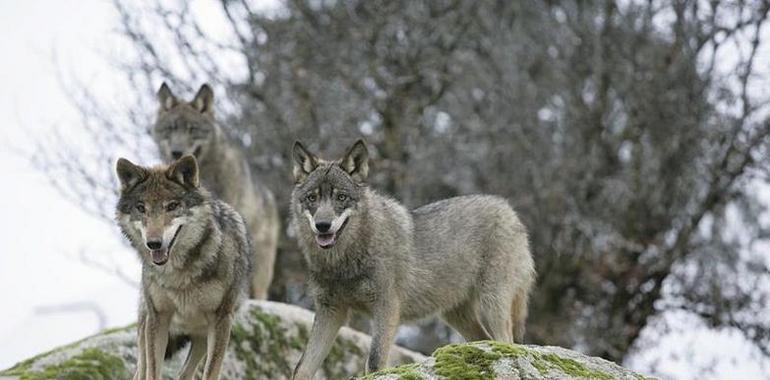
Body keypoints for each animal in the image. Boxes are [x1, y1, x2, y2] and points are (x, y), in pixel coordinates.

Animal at [115, 155, 252, 380]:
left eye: (171, 206)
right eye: (141, 208)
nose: (154, 244)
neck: (178, 274)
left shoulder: (222, 320)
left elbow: (211, 372)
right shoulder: (158, 318)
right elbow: (153, 372)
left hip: (202, 337)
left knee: (184, 374)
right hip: (145, 327)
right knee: (141, 371)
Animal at [288, 140, 536, 380]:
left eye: (341, 197)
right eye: (312, 198)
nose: (322, 225)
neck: (342, 261)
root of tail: (509, 209)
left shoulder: (386, 307)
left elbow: (374, 362)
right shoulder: (330, 312)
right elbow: (302, 367)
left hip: (492, 304)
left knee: (508, 342)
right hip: (457, 315)